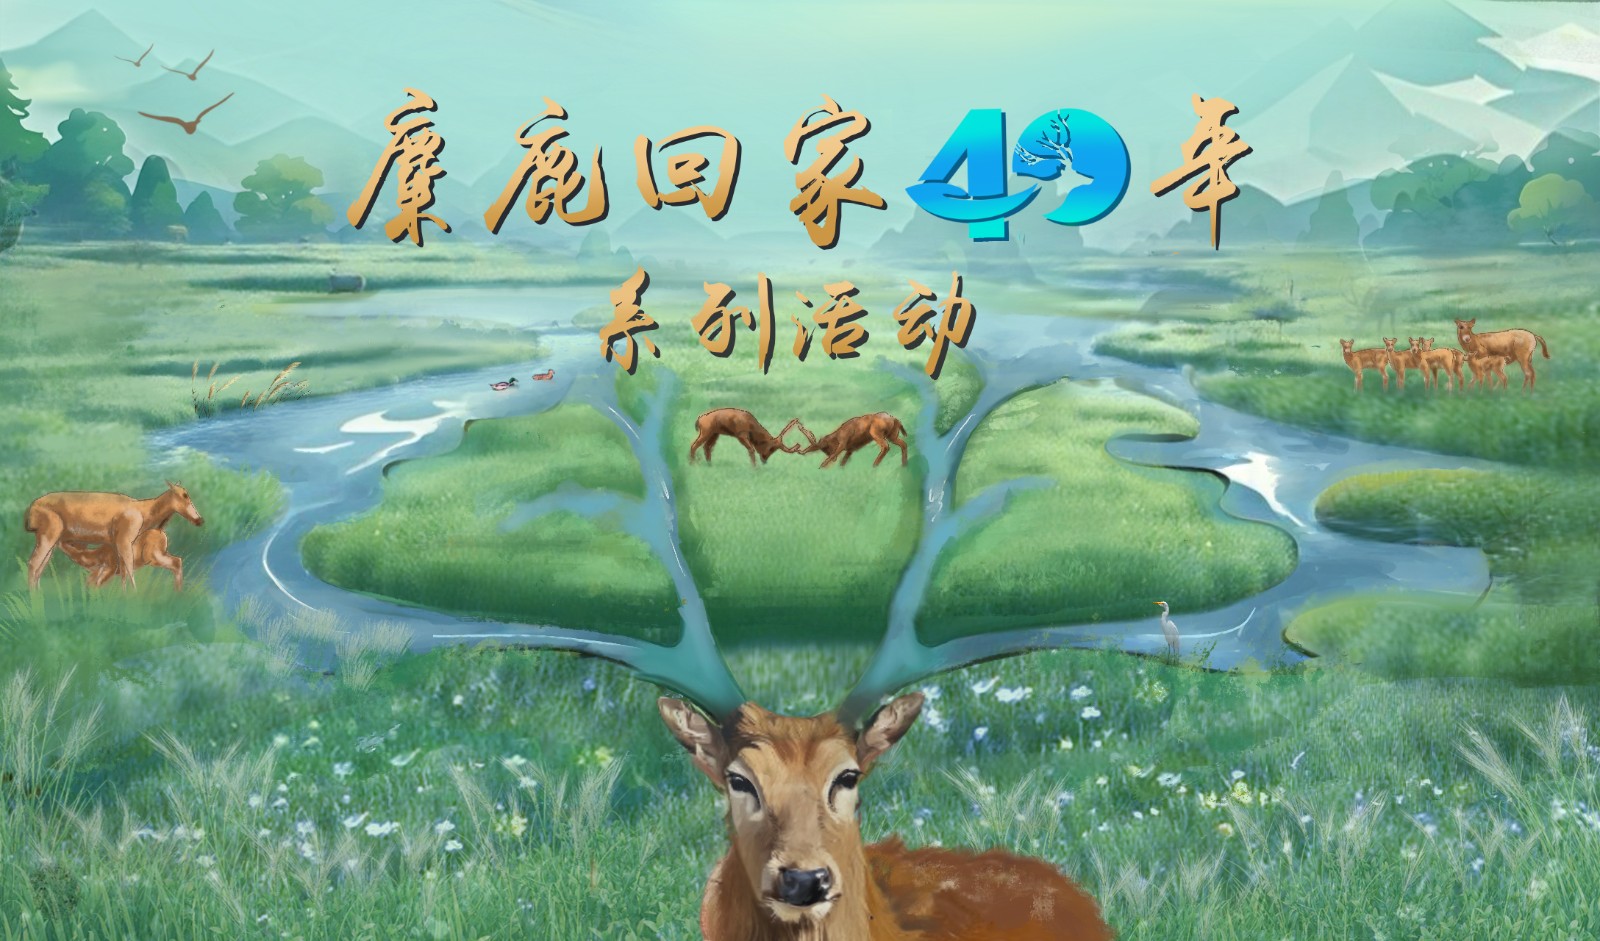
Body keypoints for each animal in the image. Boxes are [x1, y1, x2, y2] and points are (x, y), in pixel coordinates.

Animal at [25, 481, 203, 589]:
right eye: (184, 495)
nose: (199, 520)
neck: (142, 509)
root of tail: (31, 509)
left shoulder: (118, 545)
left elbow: (124, 572)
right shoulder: (124, 541)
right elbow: (129, 570)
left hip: (51, 542)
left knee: (39, 568)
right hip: (47, 538)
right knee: (33, 564)